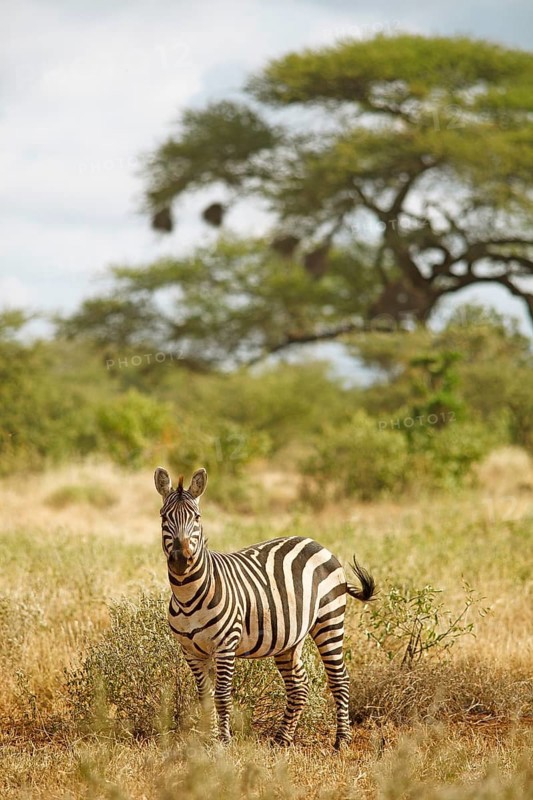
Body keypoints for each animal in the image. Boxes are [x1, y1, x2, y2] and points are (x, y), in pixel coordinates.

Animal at [154, 466, 375, 749]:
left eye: (197, 518)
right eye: (164, 517)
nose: (181, 560)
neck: (188, 595)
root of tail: (316, 542)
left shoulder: (226, 645)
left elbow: (222, 695)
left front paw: (223, 742)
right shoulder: (190, 651)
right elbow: (204, 696)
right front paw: (207, 739)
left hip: (330, 620)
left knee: (339, 679)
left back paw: (341, 740)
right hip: (289, 638)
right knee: (299, 684)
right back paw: (282, 739)